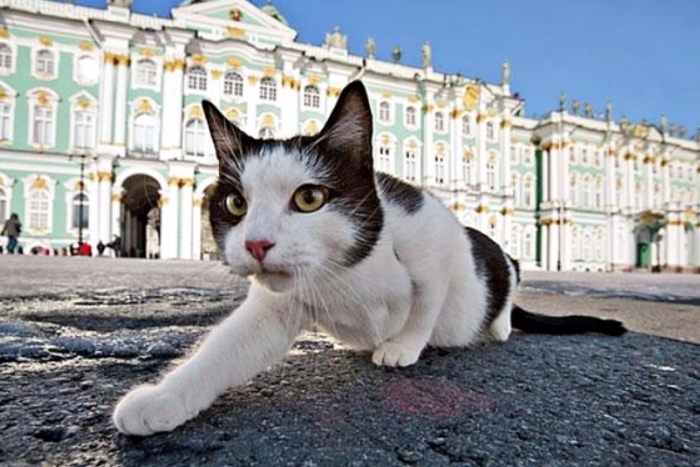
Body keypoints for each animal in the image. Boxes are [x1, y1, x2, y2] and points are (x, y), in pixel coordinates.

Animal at [112, 81, 628, 438]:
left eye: (309, 198)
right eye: (236, 204)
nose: (256, 244)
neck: (344, 271)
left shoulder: (435, 233)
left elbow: (426, 302)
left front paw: (403, 345)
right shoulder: (275, 308)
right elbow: (223, 350)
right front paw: (162, 398)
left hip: (490, 252)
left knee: (509, 272)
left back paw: (498, 324)